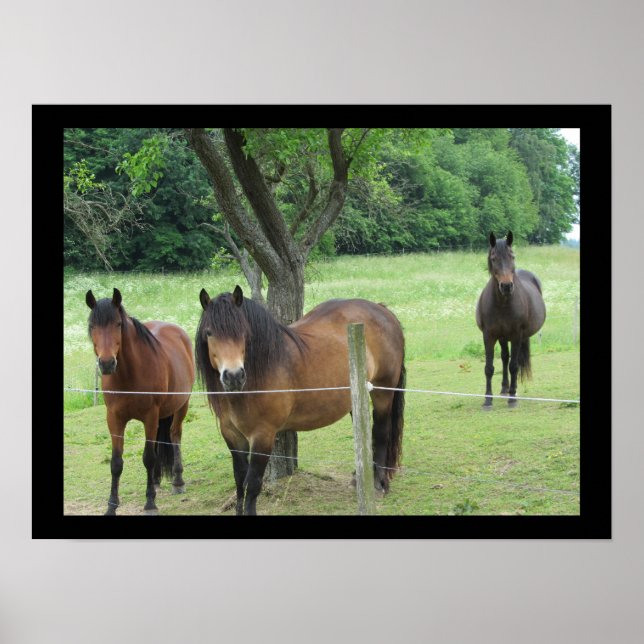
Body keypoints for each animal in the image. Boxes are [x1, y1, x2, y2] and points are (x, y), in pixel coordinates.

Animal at [85, 288, 195, 515]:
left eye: (118, 324)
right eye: (92, 326)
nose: (107, 363)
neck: (129, 375)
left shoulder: (150, 416)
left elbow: (148, 458)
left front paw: (150, 503)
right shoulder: (114, 419)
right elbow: (116, 462)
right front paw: (111, 506)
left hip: (182, 406)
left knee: (175, 435)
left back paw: (177, 481)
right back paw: (155, 481)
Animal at [195, 285, 406, 516]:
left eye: (243, 332)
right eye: (209, 333)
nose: (233, 376)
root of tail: (381, 309)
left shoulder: (263, 435)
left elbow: (252, 483)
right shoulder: (232, 435)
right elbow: (240, 481)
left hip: (383, 390)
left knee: (381, 432)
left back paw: (379, 483)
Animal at [475, 231, 546, 409]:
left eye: (512, 256)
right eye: (493, 258)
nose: (506, 286)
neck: (502, 303)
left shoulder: (516, 335)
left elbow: (514, 366)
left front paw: (513, 398)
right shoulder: (489, 336)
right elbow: (489, 367)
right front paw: (488, 399)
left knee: (512, 360)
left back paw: (511, 390)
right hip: (502, 337)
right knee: (504, 357)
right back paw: (504, 388)